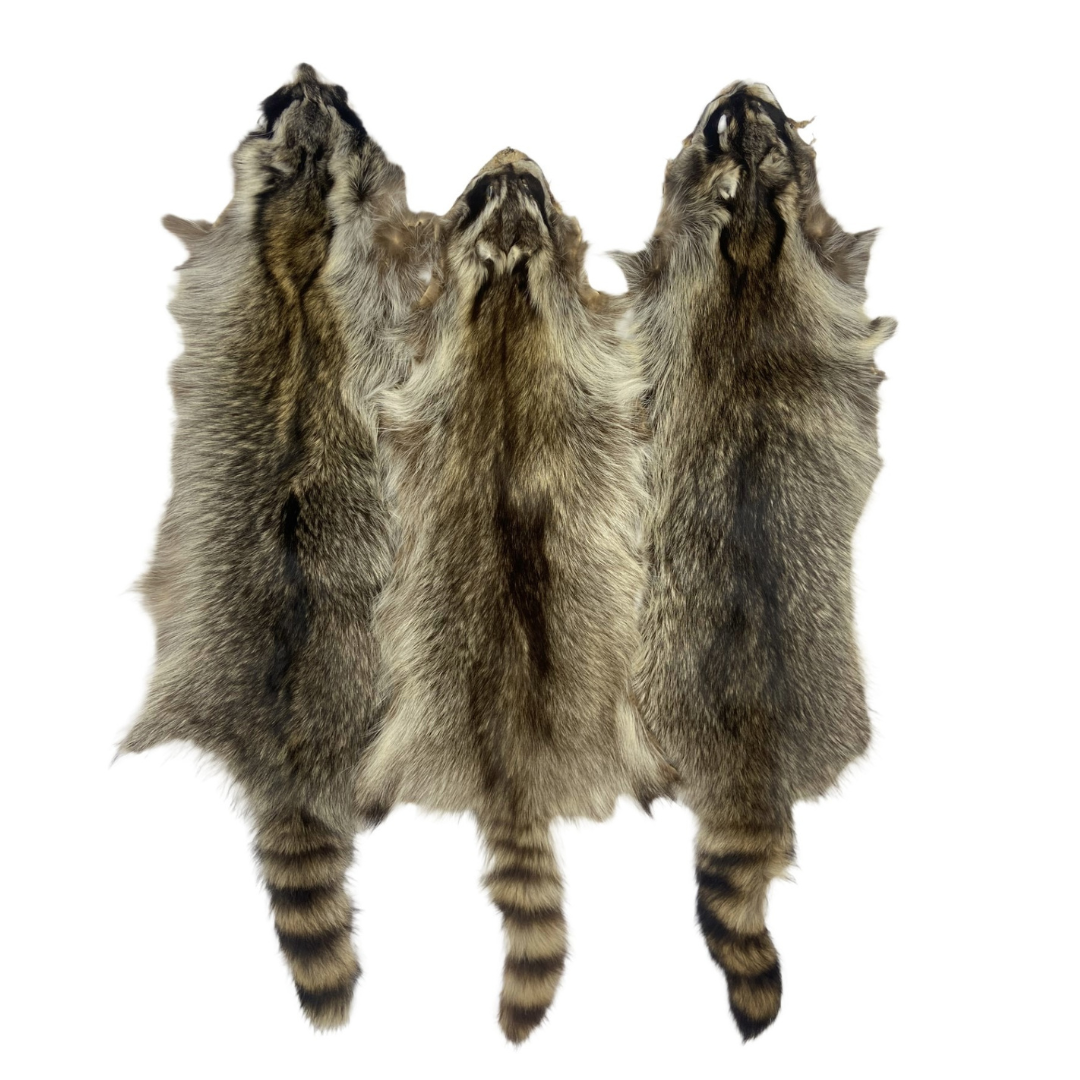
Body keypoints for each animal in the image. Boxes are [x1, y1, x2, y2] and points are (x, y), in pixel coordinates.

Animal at [119, 64, 434, 1030]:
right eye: (280, 102)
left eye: (338, 99)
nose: (306, 70)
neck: (298, 205)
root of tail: (288, 758)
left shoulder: (232, 259)